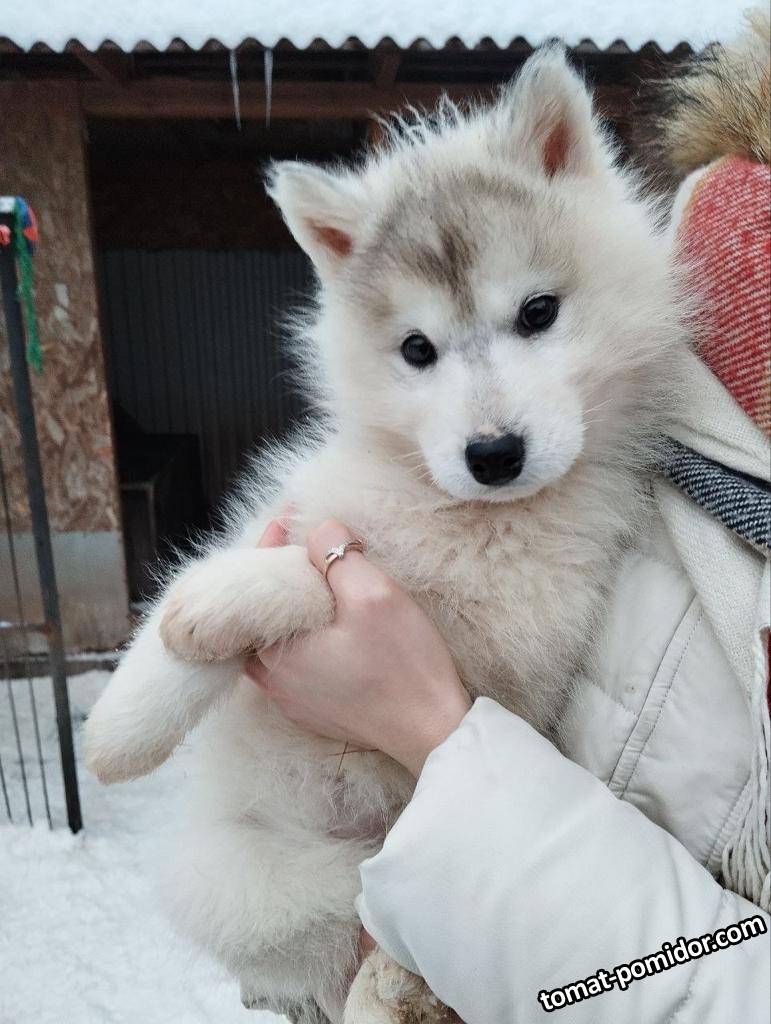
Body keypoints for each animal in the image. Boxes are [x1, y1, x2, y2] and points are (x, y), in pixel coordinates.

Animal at [84, 45, 688, 1023]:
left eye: (537, 313)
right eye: (415, 350)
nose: (492, 453)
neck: (466, 522)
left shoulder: (508, 665)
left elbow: (314, 583)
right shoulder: (291, 510)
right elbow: (220, 584)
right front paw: (123, 725)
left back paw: (389, 986)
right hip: (239, 878)